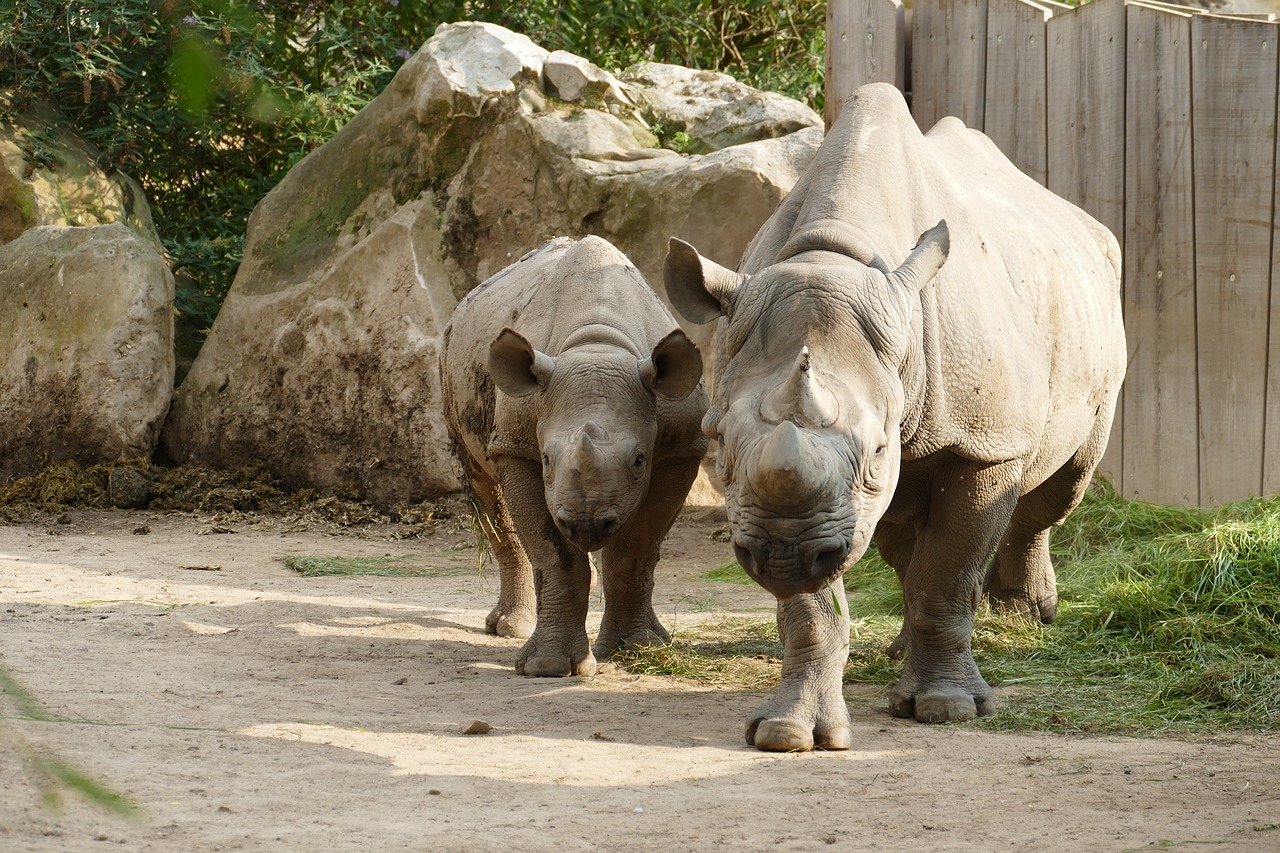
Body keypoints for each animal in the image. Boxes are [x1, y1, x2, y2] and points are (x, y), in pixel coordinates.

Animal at [435, 235, 706, 676]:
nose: (585, 524)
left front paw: (639, 648)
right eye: (546, 460)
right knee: (486, 489)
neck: (598, 344)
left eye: (639, 461)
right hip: (454, 366)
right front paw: (547, 666)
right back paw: (509, 627)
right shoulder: (517, 445)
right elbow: (555, 554)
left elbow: (635, 550)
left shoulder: (682, 449)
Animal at [665, 84, 1126, 753]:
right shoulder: (808, 508)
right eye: (717, 443)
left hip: (1097, 313)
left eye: (879, 450)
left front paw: (950, 708)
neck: (836, 254)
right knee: (900, 532)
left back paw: (1025, 618)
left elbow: (949, 571)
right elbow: (813, 608)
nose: (782, 555)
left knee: (1060, 487)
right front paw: (787, 732)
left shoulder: (984, 443)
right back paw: (904, 652)